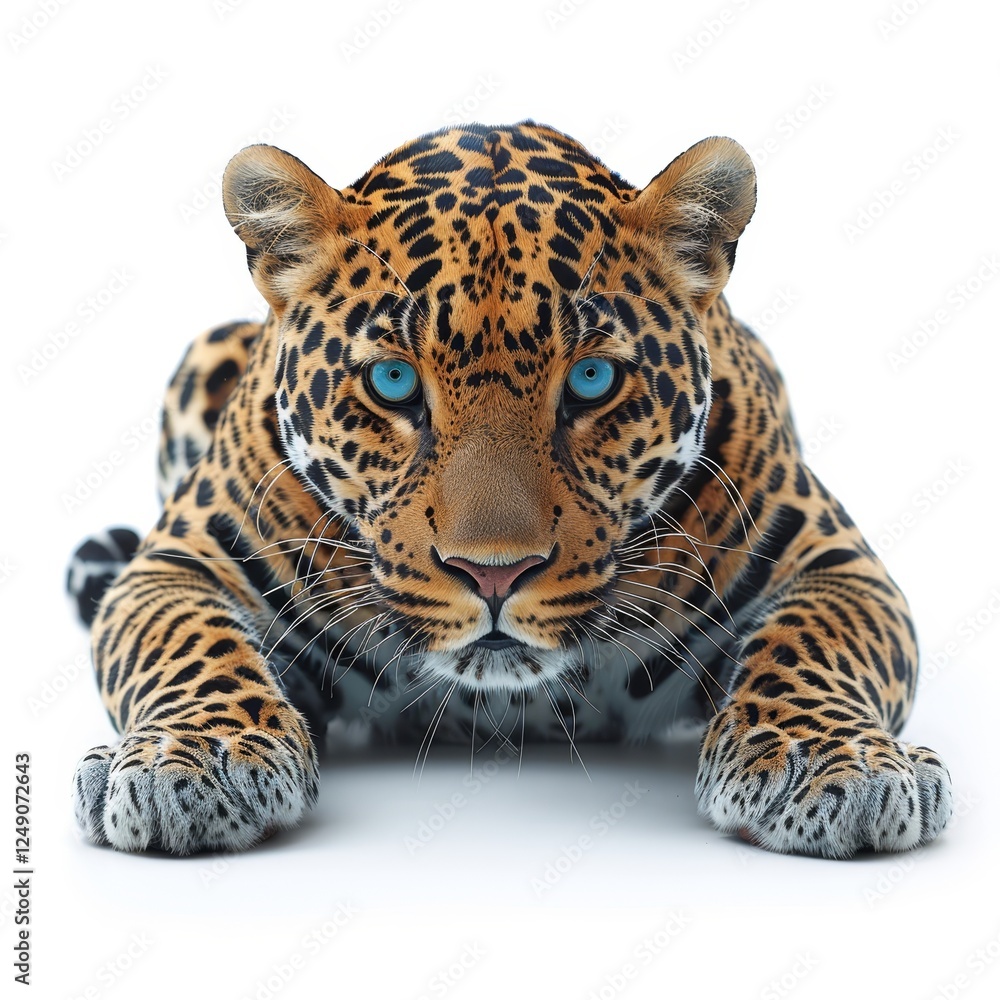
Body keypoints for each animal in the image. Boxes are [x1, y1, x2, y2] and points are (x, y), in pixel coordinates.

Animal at [67, 121, 952, 858]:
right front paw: (195, 761)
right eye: (393, 382)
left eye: (592, 380)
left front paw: (825, 765)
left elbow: (814, 645)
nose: (494, 575)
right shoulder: (181, 564)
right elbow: (187, 645)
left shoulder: (834, 563)